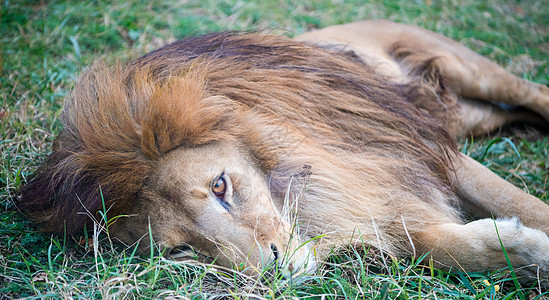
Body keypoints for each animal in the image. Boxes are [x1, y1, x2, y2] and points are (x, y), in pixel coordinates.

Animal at [17, 19, 548, 282]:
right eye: (182, 250)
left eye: (220, 185)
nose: (271, 270)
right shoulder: (383, 208)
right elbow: (442, 248)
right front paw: (521, 254)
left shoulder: (416, 152)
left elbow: (520, 203)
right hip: (468, 115)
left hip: (466, 69)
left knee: (531, 91)